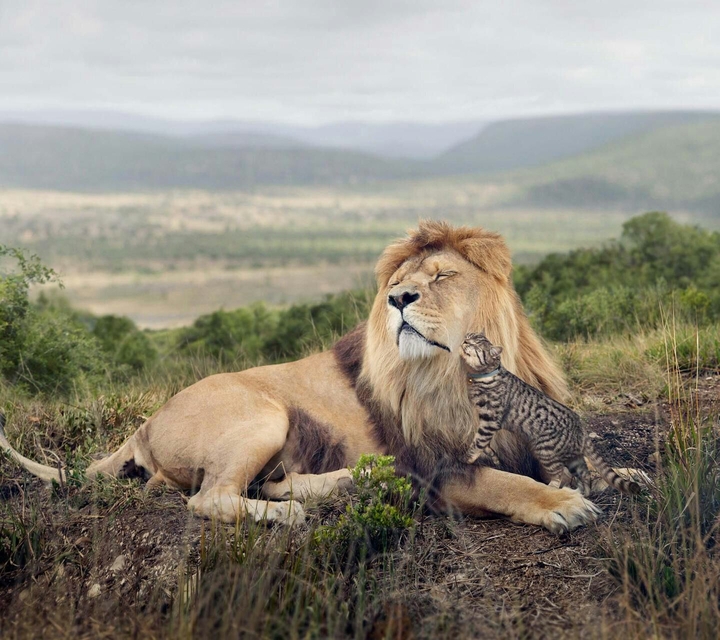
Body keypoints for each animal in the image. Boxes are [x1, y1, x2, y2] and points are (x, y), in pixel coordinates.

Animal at [1, 221, 600, 533]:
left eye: (444, 276)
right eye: (398, 283)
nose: (398, 299)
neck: (454, 372)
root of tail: (144, 425)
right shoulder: (435, 469)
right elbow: (505, 482)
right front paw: (563, 505)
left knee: (263, 482)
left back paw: (347, 483)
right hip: (264, 414)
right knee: (210, 498)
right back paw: (289, 513)